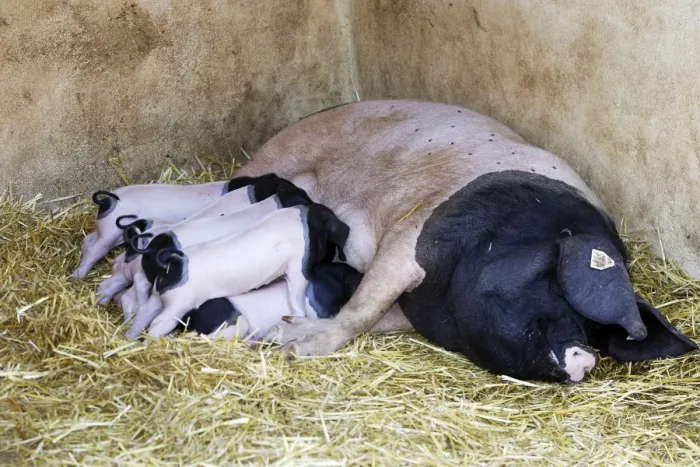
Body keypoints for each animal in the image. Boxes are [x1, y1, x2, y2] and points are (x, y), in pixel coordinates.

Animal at [229, 99, 697, 383]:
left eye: (598, 331)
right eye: (556, 285)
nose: (586, 357)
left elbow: (377, 316)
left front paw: (283, 332)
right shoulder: (411, 237)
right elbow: (363, 307)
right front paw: (291, 343)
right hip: (278, 157)